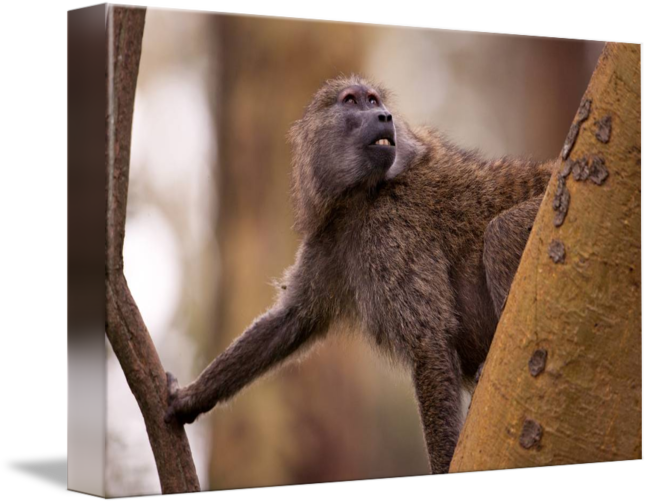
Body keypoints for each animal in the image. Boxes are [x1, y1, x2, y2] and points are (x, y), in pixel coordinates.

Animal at [164, 75, 556, 475]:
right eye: (353, 101)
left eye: (374, 101)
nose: (385, 116)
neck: (361, 197)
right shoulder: (330, 242)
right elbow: (291, 320)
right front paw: (188, 399)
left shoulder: (391, 231)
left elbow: (428, 340)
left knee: (501, 234)